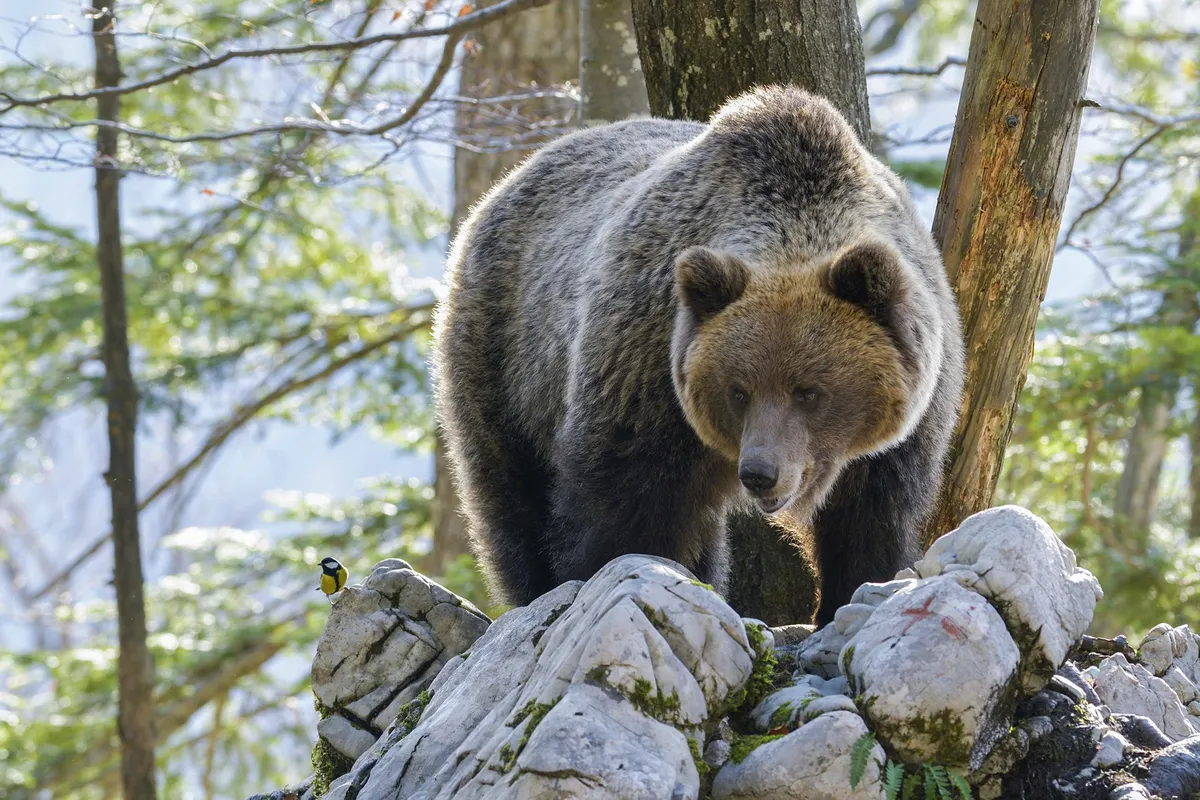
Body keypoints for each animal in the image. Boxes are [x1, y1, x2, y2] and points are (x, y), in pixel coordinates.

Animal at [432, 86, 964, 623]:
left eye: (810, 391)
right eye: (739, 390)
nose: (760, 472)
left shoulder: (906, 421)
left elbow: (871, 518)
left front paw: (855, 592)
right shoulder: (647, 363)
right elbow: (628, 499)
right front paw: (607, 572)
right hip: (507, 350)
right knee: (512, 490)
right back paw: (535, 588)